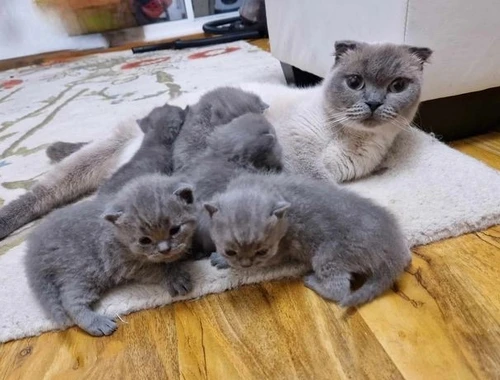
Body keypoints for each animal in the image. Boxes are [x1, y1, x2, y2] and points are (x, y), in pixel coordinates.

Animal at [25, 173, 196, 336]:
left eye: (174, 230)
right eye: (145, 240)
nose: (164, 249)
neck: (117, 234)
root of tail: (34, 247)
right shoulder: (124, 263)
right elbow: (156, 269)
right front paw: (174, 276)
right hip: (82, 271)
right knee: (70, 301)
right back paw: (96, 323)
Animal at [205, 174, 412, 308]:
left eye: (262, 252)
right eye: (231, 251)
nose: (246, 264)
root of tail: (392, 246)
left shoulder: (279, 251)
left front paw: (222, 262)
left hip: (329, 255)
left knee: (340, 289)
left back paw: (313, 282)